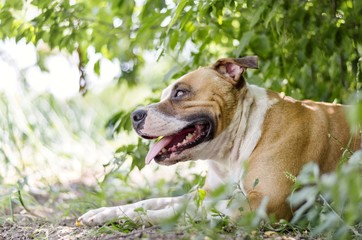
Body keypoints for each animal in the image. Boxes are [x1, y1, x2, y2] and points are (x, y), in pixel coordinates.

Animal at [78, 56, 360, 227]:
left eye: (180, 93)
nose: (135, 116)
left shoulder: (264, 204)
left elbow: (184, 210)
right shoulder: (208, 192)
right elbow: (156, 200)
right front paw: (105, 212)